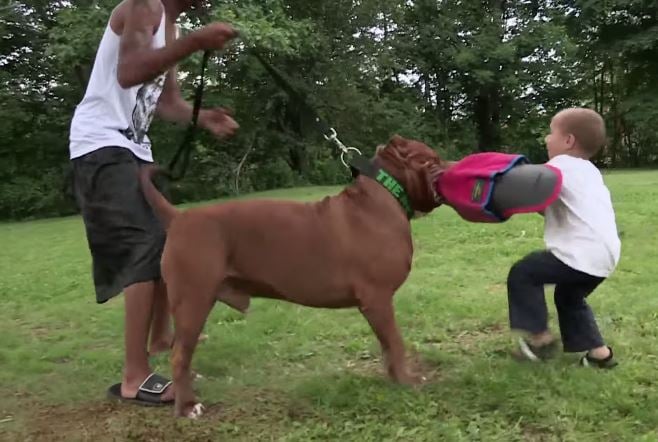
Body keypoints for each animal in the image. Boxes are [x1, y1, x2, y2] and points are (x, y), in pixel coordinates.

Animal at [139, 135, 446, 418]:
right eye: (433, 159)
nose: (449, 165)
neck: (385, 194)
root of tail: (179, 217)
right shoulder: (378, 300)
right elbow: (395, 342)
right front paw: (407, 380)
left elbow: (387, 347)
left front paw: (395, 377)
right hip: (194, 301)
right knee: (179, 355)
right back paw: (186, 406)